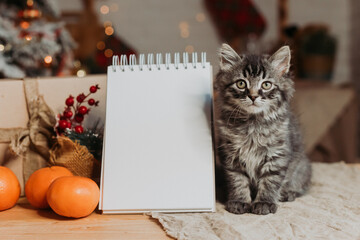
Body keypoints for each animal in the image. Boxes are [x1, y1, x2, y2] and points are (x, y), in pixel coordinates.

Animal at [215, 44, 310, 215]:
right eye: (241, 83)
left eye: (266, 84)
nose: (253, 96)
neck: (252, 124)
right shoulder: (231, 156)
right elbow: (237, 181)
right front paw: (239, 201)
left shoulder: (276, 155)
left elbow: (270, 182)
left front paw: (264, 203)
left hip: (303, 167)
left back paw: (288, 193)